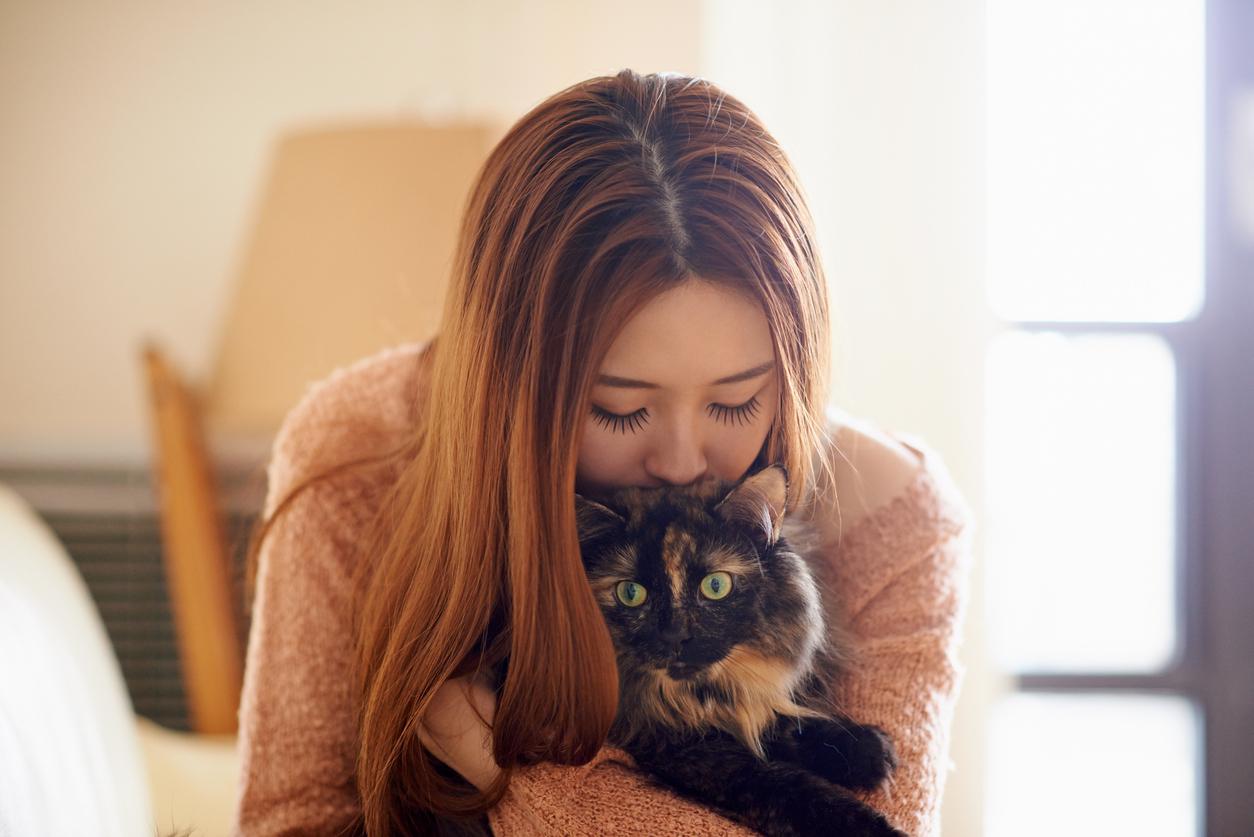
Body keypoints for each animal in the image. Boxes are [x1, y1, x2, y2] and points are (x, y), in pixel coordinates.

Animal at [571, 464, 912, 837]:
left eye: (716, 586)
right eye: (631, 593)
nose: (675, 635)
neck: (704, 695)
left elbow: (790, 723)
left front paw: (867, 749)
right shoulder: (682, 749)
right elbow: (781, 784)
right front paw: (869, 824)